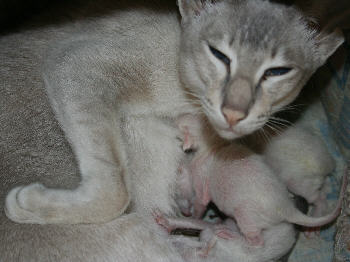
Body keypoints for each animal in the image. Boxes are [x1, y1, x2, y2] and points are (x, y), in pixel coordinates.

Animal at [1, 0, 344, 226]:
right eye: (219, 55)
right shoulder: (76, 63)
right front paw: (23, 204)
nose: (233, 113)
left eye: (277, 71)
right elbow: (116, 190)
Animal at [171, 113, 346, 247]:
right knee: (323, 188)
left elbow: (201, 200)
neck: (216, 144)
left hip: (254, 209)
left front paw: (193, 217)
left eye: (177, 126)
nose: (184, 212)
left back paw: (230, 234)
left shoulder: (200, 172)